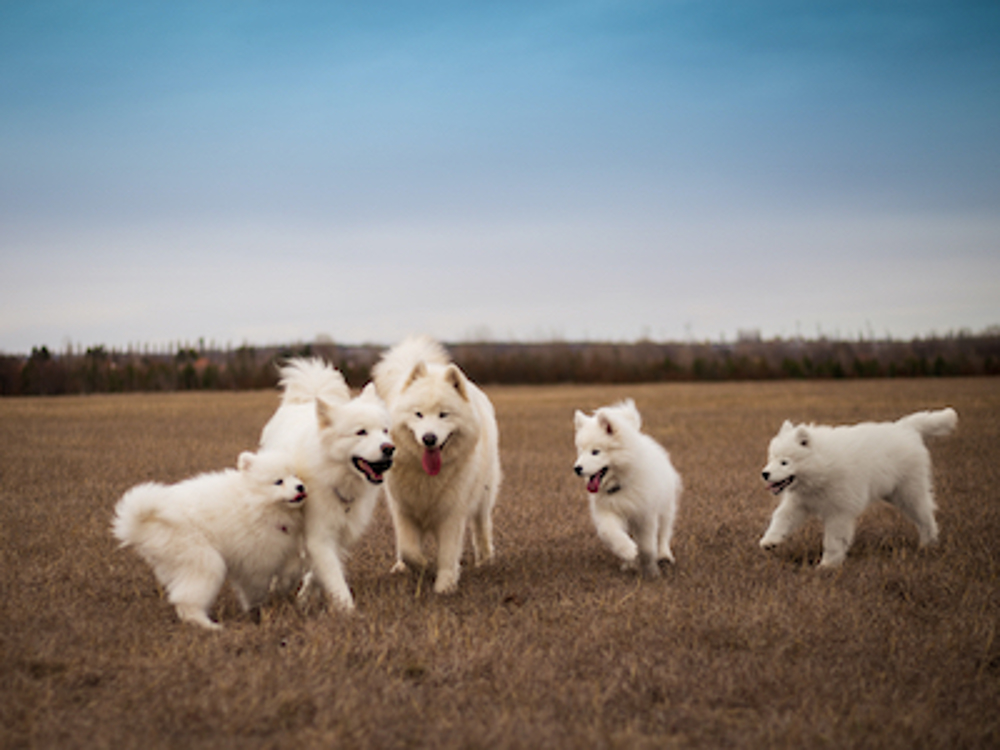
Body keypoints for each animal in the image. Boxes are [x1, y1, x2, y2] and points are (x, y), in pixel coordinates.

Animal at [111, 450, 306, 632]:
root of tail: (140, 526)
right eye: (278, 481)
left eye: (295, 475)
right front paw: (259, 607)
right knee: (187, 600)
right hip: (203, 560)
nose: (300, 487)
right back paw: (209, 626)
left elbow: (293, 566)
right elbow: (258, 585)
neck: (255, 501)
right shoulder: (257, 557)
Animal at [258, 356, 394, 612]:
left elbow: (320, 571)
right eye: (361, 432)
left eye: (385, 431)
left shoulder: (340, 533)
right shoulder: (319, 533)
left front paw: (305, 598)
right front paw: (348, 611)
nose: (389, 448)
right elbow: (332, 575)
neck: (336, 474)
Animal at [374, 338, 504, 596]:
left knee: (482, 526)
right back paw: (400, 567)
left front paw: (444, 585)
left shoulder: (452, 512)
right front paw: (422, 566)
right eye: (418, 414)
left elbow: (447, 554)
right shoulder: (403, 509)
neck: (426, 475)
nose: (429, 438)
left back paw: (485, 560)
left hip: (483, 496)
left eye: (444, 415)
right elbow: (408, 549)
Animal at [576, 402, 684, 580]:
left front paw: (651, 570)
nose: (576, 468)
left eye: (595, 451)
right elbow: (610, 533)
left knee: (663, 533)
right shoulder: (608, 511)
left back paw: (664, 556)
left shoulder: (646, 514)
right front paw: (628, 552)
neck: (622, 484)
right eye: (580, 451)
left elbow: (648, 546)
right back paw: (630, 564)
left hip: (666, 508)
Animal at [760, 408, 956, 568]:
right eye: (772, 458)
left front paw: (827, 565)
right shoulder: (798, 503)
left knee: (925, 515)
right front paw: (770, 540)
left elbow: (833, 540)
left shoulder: (839, 511)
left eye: (784, 462)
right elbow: (781, 519)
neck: (822, 466)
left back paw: (928, 543)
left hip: (909, 492)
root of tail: (905, 428)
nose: (764, 473)